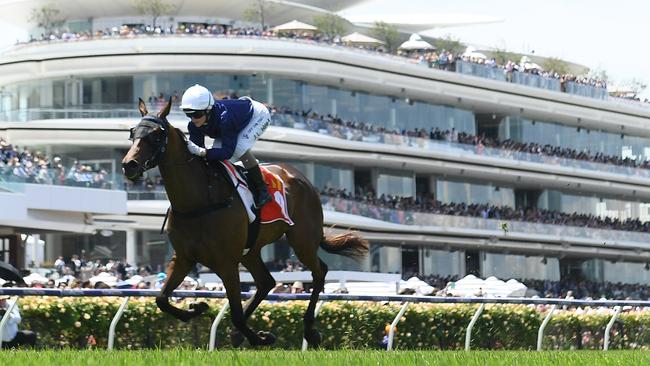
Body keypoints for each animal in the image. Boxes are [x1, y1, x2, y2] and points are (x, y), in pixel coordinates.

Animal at [120, 98, 364, 348]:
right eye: (133, 132)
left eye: (157, 135)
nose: (129, 164)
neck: (198, 201)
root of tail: (300, 177)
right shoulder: (183, 258)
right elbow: (161, 299)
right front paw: (198, 307)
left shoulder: (227, 263)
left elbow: (236, 315)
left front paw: (260, 337)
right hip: (251, 251)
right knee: (266, 282)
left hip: (302, 240)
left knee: (319, 272)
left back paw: (309, 330)